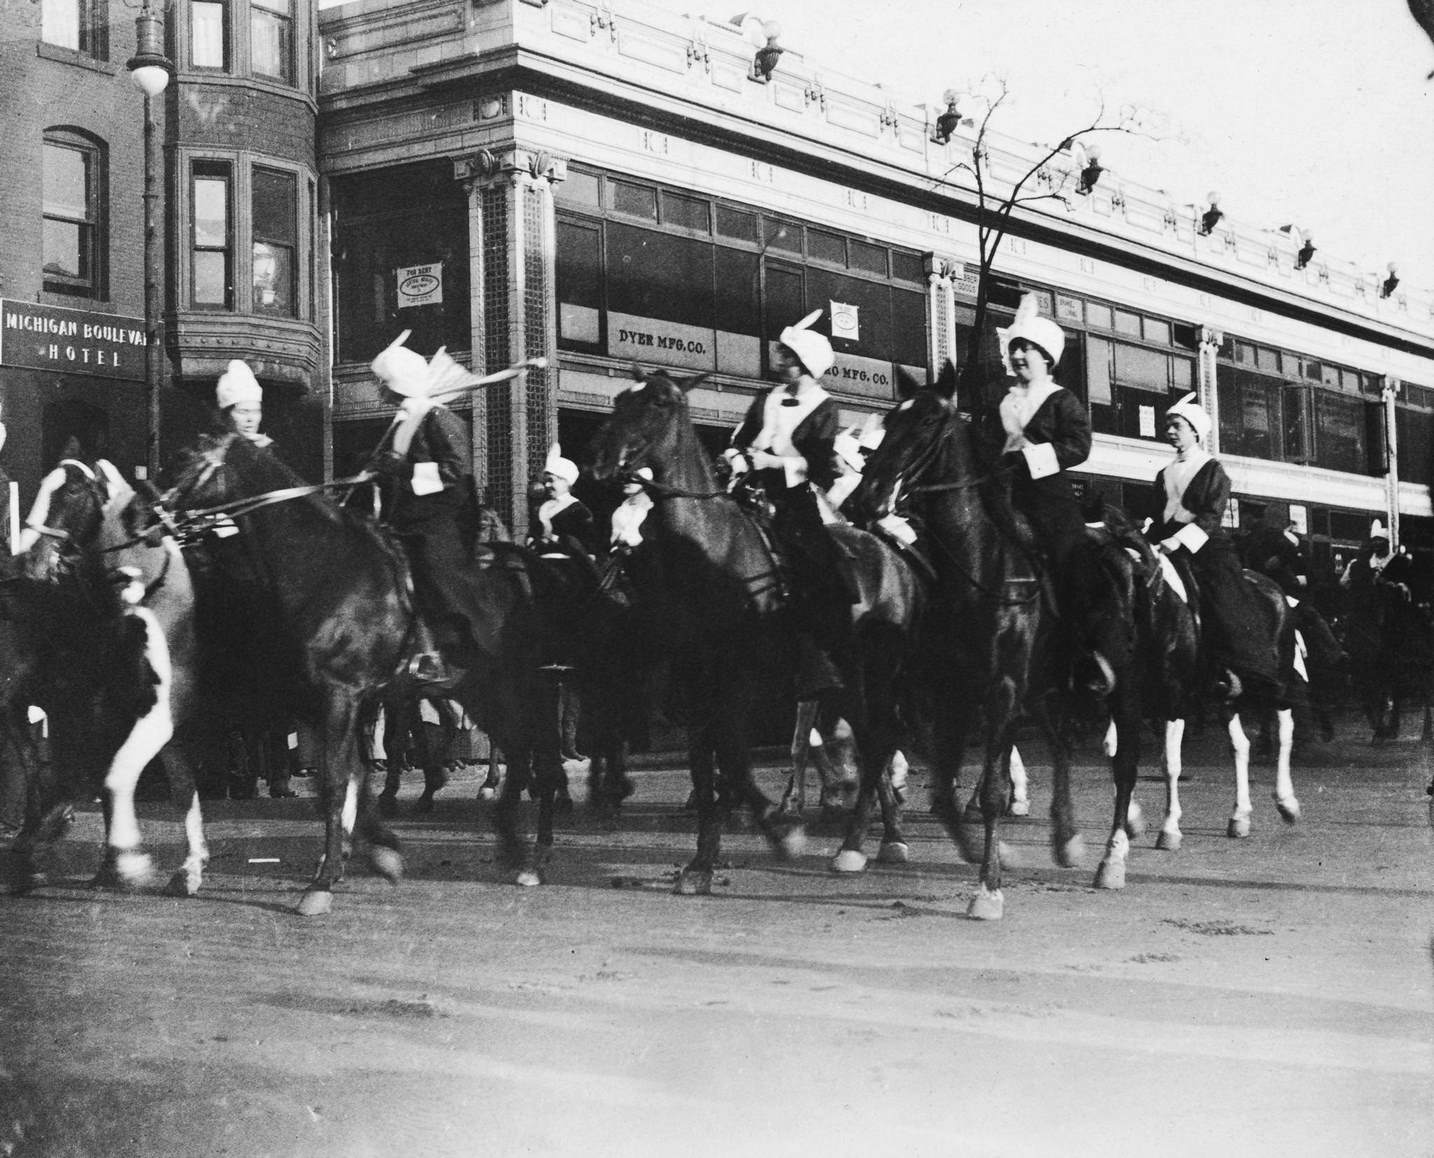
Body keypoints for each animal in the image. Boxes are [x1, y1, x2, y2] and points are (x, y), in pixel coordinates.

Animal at [166, 429, 564, 911]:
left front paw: (323, 882)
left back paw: (534, 852)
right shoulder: (323, 699)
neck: (323, 570)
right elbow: (346, 775)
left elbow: (339, 779)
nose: (155, 513)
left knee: (538, 752)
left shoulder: (342, 694)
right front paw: (373, 854)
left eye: (186, 458)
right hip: (481, 689)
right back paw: (515, 844)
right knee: (519, 750)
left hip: (525, 684)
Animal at [587, 366, 923, 888]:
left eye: (660, 402)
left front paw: (781, 832)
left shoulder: (739, 680)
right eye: (621, 398)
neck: (711, 553)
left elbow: (735, 758)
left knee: (878, 740)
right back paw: (875, 839)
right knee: (871, 742)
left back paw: (866, 841)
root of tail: (894, 557)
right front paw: (701, 863)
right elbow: (707, 765)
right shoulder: (694, 683)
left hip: (874, 674)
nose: (602, 460)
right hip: (846, 679)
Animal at [843, 364, 1147, 911]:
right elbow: (944, 785)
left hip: (1120, 683)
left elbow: (989, 791)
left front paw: (988, 889)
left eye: (926, 422)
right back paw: (1068, 838)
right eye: (891, 419)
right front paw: (986, 855)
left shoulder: (1001, 686)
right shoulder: (953, 689)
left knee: (1125, 764)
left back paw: (1112, 860)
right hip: (1043, 688)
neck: (979, 563)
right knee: (1062, 744)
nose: (863, 499)